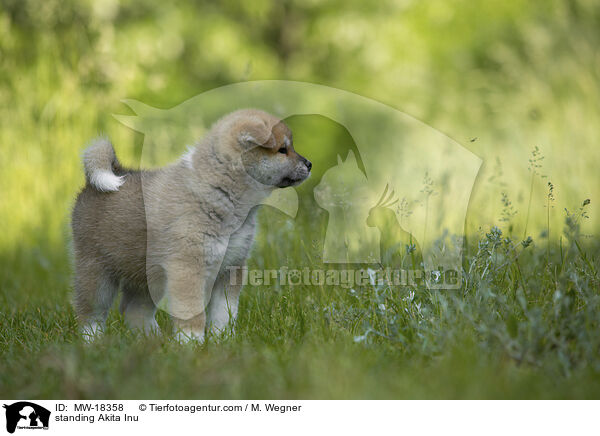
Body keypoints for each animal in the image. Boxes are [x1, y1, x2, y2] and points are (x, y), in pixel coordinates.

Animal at [72, 109, 312, 340]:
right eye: (283, 150)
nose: (309, 164)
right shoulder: (187, 268)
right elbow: (193, 314)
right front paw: (191, 343)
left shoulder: (230, 268)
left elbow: (224, 314)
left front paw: (222, 340)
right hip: (96, 272)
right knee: (90, 314)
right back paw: (93, 342)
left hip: (146, 276)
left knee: (135, 310)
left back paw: (153, 340)